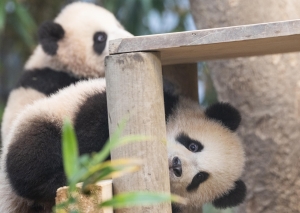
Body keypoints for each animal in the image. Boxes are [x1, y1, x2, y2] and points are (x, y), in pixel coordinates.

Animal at [0, 78, 245, 213]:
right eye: (193, 145)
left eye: (200, 178)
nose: (176, 165)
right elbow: (95, 126)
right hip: (45, 120)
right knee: (31, 159)